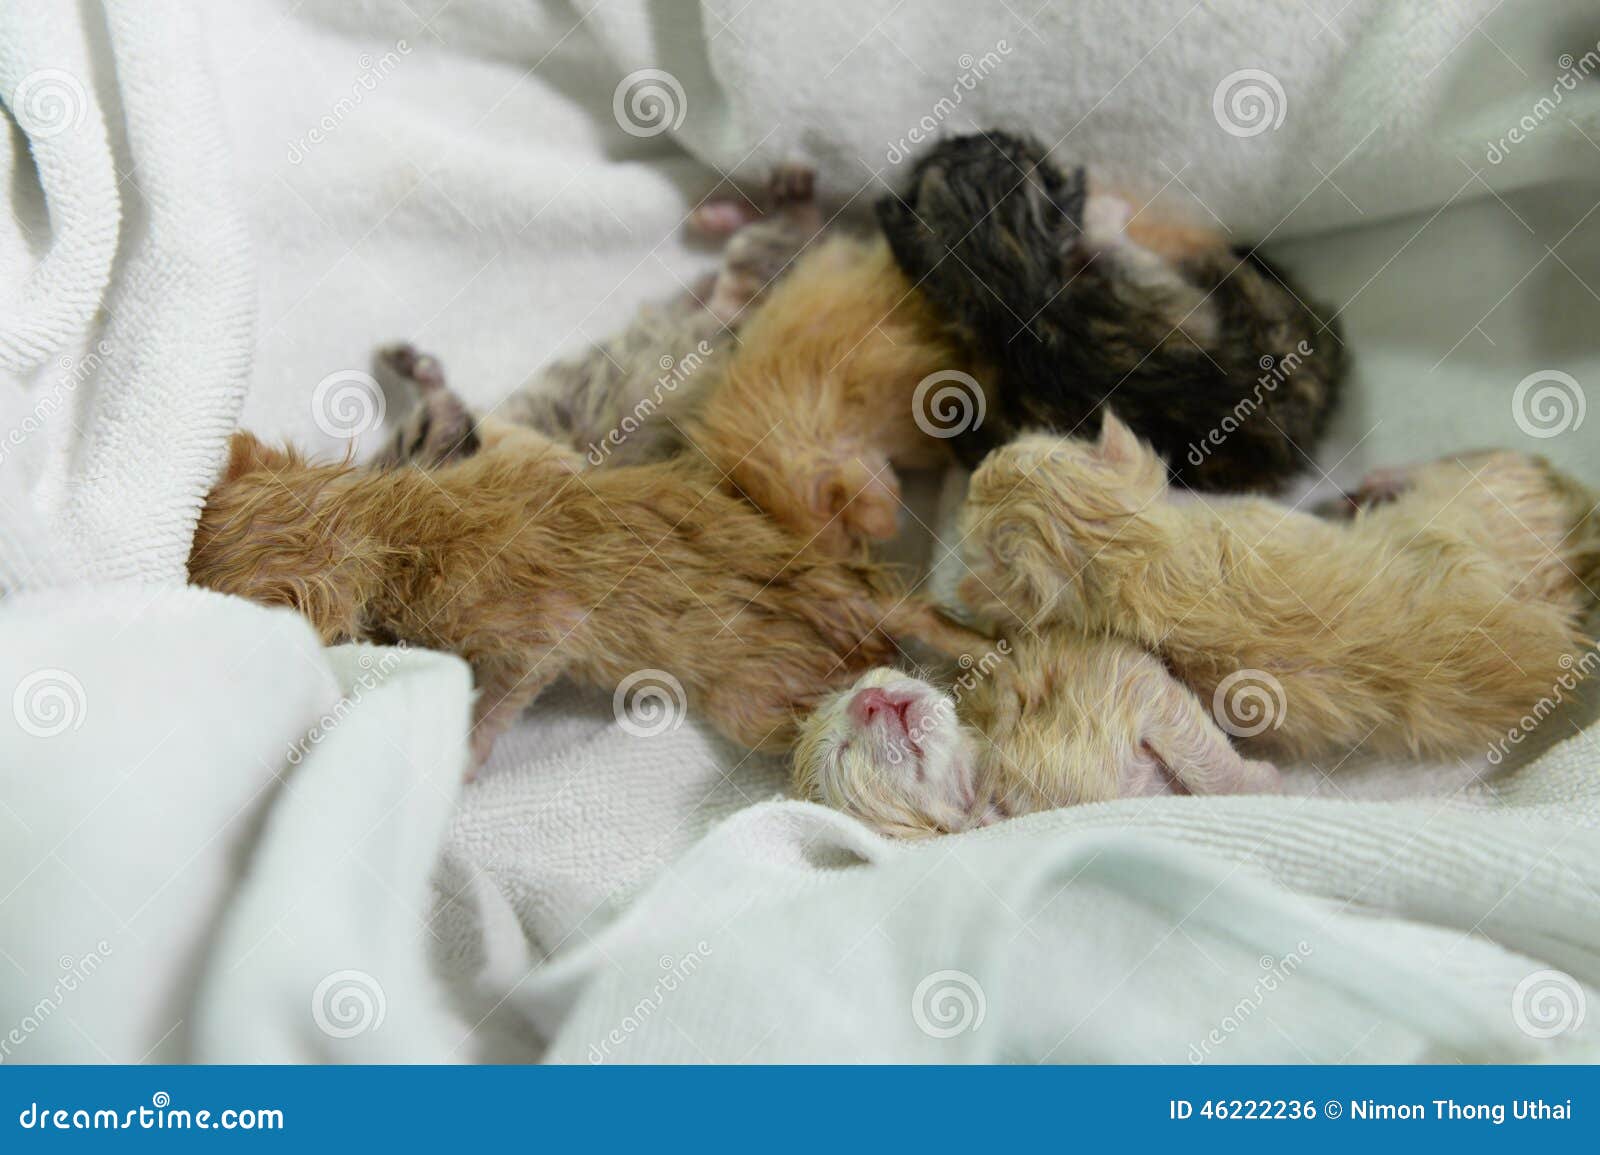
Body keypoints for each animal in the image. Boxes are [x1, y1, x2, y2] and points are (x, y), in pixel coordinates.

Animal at [187, 407, 972, 764]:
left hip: (754, 700)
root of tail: (843, 597)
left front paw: (467, 754)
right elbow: (539, 446)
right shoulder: (523, 464)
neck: (395, 525)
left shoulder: (525, 621)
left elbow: (522, 674)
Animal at [793, 623, 1280, 831]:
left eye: (869, 679)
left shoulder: (1121, 675)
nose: (868, 700)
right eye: (841, 755)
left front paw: (1267, 787)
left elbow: (1203, 757)